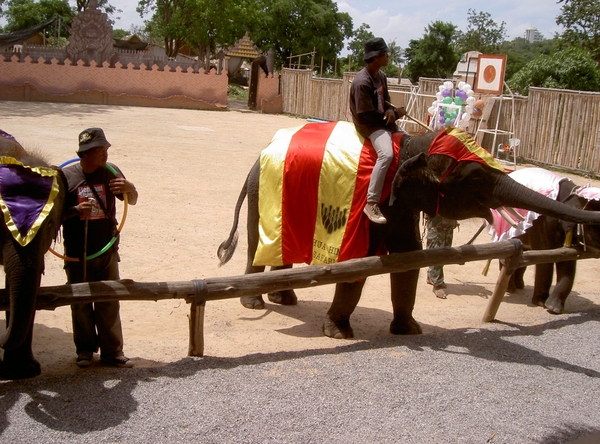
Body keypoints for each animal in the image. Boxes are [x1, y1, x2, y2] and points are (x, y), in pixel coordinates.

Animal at [488, 167, 600, 316]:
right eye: (596, 225)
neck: (574, 191)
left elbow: (568, 259)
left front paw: (554, 309)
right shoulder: (542, 224)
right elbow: (546, 259)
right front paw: (541, 304)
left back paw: (520, 286)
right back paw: (511, 289)